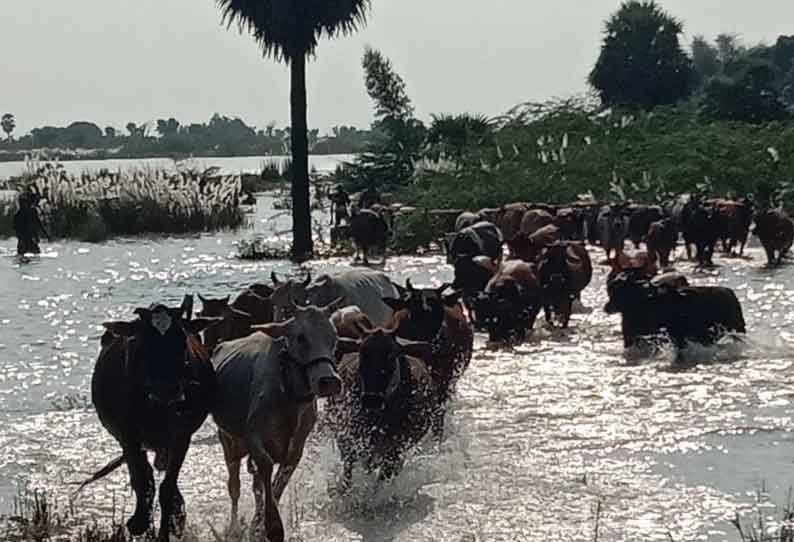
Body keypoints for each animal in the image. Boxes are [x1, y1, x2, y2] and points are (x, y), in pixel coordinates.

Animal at [87, 300, 220, 540]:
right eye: (144, 342)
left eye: (182, 339)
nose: (167, 389)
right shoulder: (128, 436)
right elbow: (142, 481)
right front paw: (140, 522)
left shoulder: (181, 437)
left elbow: (167, 488)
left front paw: (166, 530)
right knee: (143, 476)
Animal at [210, 302, 344, 540]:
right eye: (300, 337)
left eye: (333, 336)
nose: (329, 381)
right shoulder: (253, 438)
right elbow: (265, 470)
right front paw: (272, 526)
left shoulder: (296, 448)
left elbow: (276, 485)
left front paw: (258, 524)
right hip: (228, 441)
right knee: (234, 487)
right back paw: (234, 527)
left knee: (256, 487)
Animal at [324, 332, 436, 492]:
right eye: (362, 358)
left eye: (391, 358)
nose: (372, 399)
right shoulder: (346, 438)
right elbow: (348, 468)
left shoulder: (395, 449)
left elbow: (383, 475)